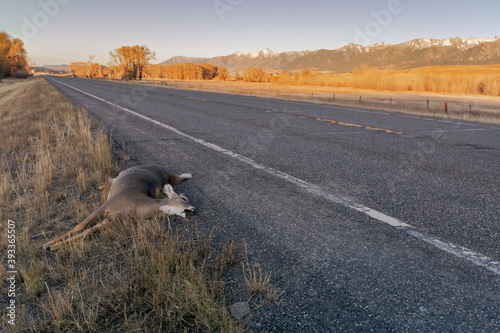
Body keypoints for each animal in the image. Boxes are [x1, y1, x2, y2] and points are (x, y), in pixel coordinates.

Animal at [42, 165, 194, 250]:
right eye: (183, 198)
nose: (193, 209)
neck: (137, 205)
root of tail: (167, 173)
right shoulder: (106, 206)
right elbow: (79, 226)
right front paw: (48, 243)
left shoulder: (113, 220)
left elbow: (87, 231)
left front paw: (52, 247)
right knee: (112, 177)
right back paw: (101, 186)